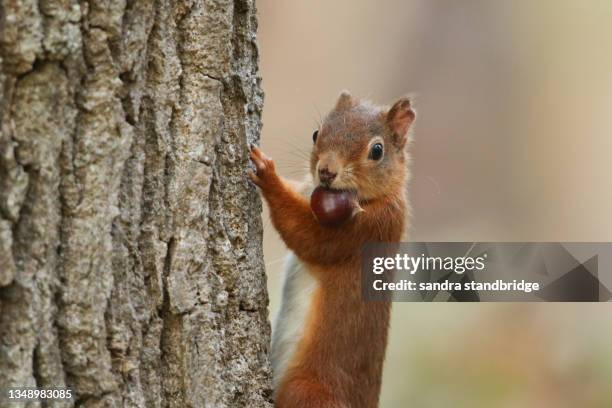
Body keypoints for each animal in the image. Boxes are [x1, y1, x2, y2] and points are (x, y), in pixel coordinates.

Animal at [249, 91, 416, 406]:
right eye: (316, 133)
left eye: (377, 151)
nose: (326, 171)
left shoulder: (365, 230)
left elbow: (310, 239)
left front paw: (268, 176)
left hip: (305, 391)